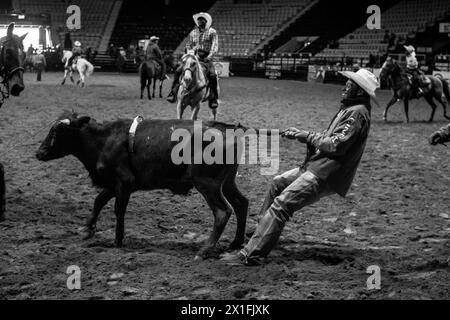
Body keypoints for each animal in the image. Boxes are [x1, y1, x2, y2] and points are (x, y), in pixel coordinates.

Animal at [36, 111, 250, 258]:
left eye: (58, 131)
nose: (39, 153)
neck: (104, 140)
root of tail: (227, 129)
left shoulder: (125, 182)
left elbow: (118, 209)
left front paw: (118, 240)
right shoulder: (113, 184)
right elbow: (99, 201)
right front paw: (88, 228)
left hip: (207, 183)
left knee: (222, 212)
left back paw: (205, 249)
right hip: (227, 182)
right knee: (241, 203)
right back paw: (236, 242)